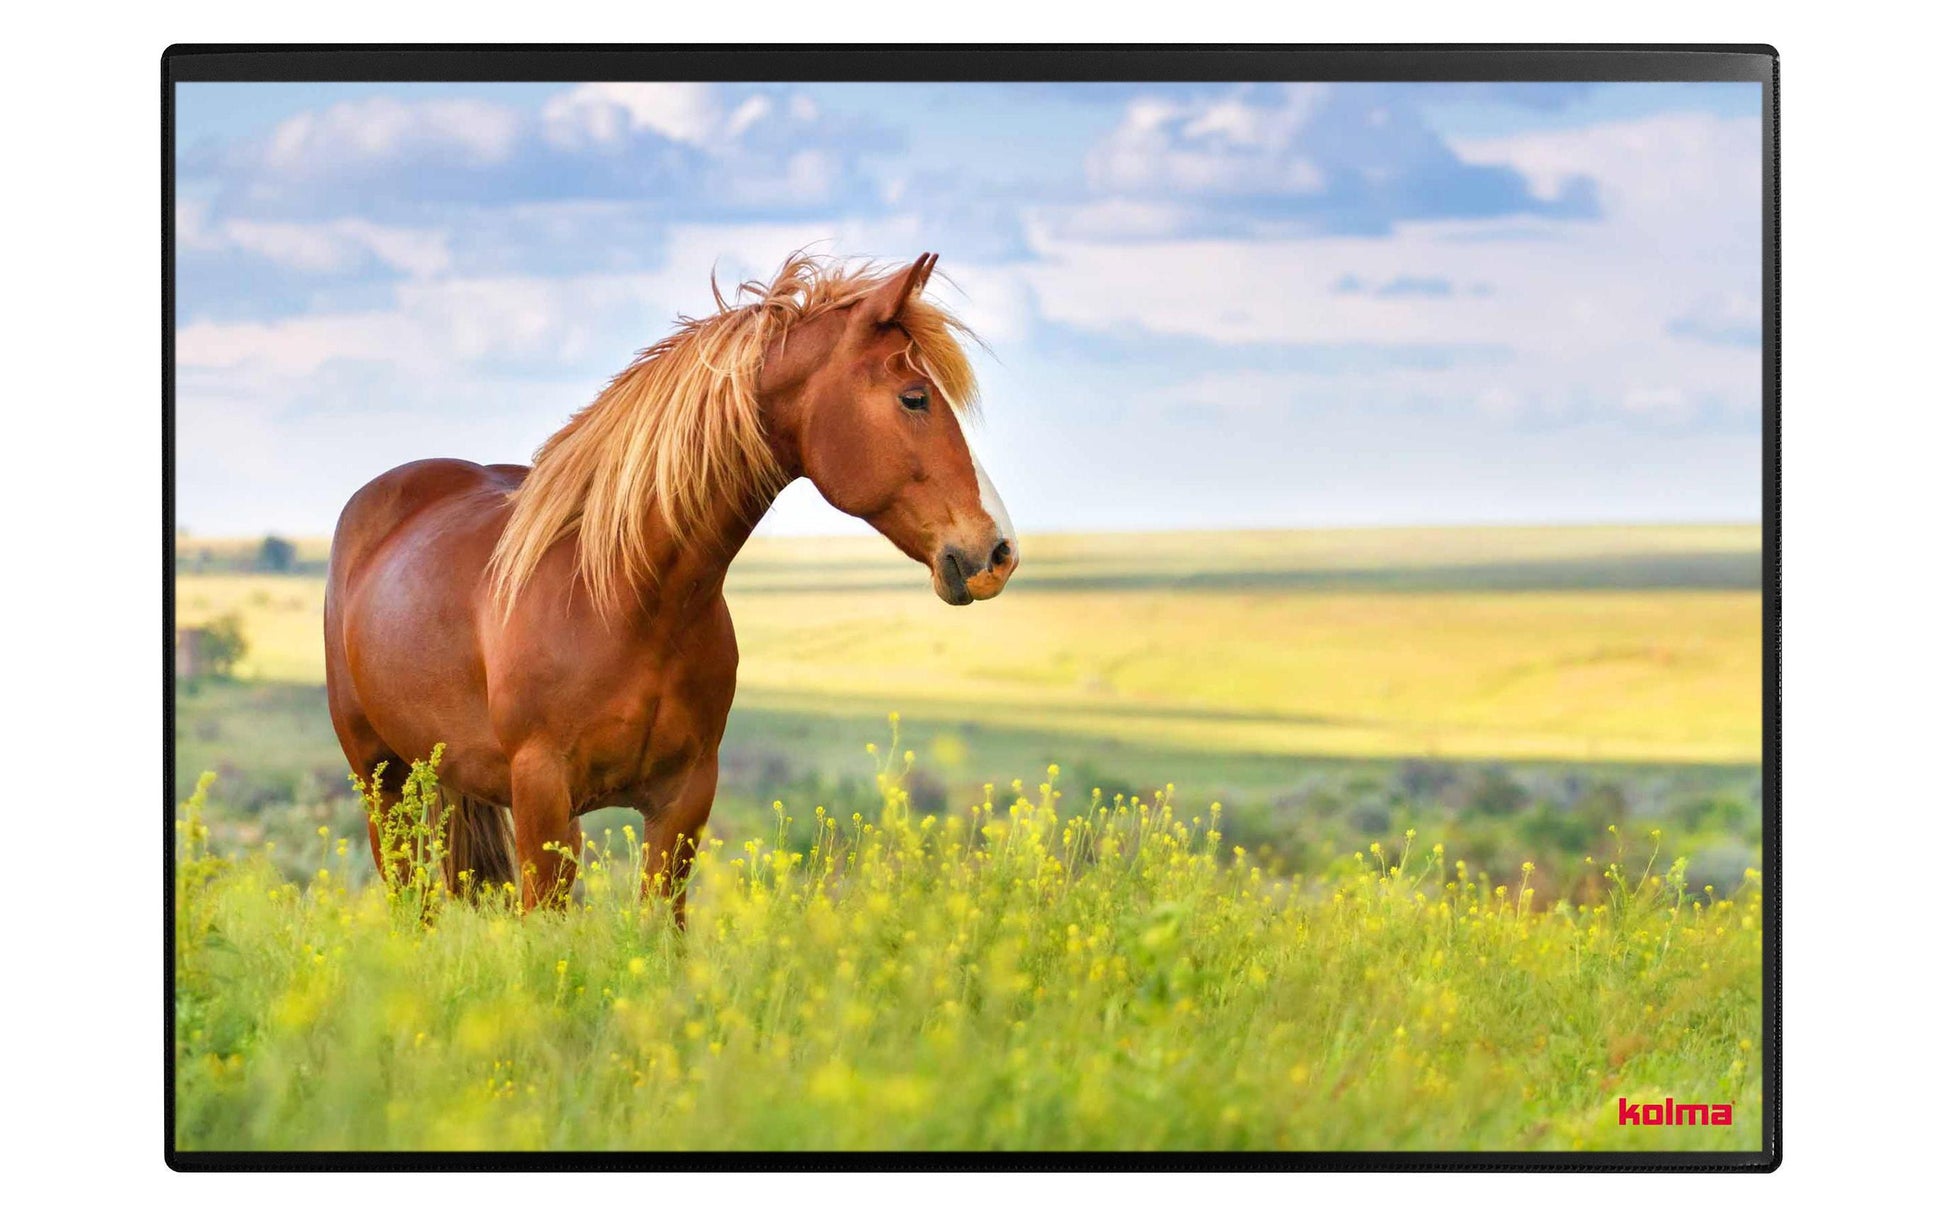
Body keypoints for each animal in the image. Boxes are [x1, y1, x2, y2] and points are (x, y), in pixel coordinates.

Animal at [323, 252, 1018, 918]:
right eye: (914, 398)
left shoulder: (683, 800)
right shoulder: (543, 799)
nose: (998, 552)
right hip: (382, 783)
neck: (626, 601)